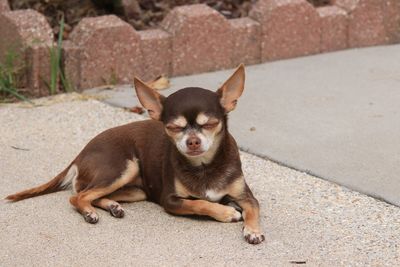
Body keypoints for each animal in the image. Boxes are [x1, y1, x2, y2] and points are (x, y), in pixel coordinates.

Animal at [6, 65, 266, 245]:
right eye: (173, 127)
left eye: (210, 124)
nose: (192, 141)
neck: (204, 166)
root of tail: (80, 154)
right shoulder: (170, 201)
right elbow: (201, 203)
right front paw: (226, 212)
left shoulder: (245, 196)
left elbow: (253, 209)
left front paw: (253, 230)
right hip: (124, 168)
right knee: (78, 196)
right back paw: (90, 212)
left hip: (137, 189)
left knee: (92, 194)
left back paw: (112, 206)